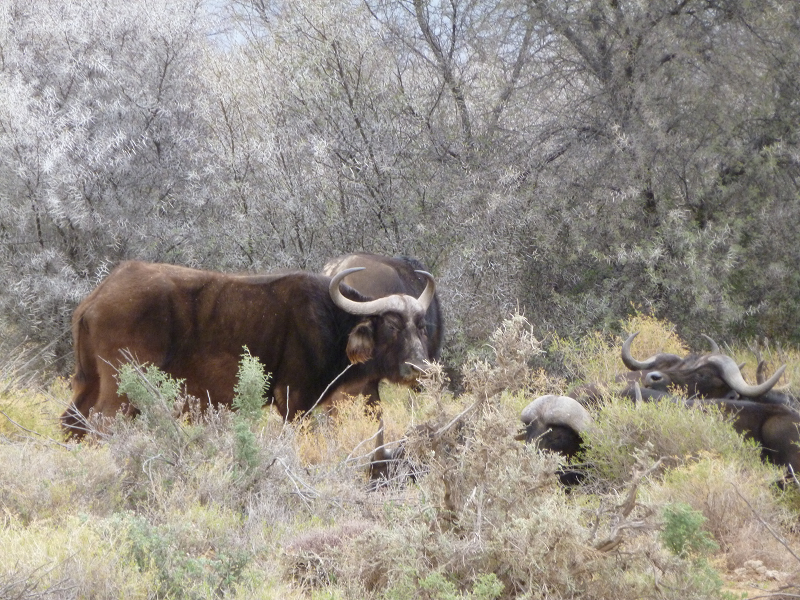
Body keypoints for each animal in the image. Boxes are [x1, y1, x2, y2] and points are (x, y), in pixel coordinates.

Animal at [62, 260, 438, 438]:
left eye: (420, 326)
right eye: (391, 326)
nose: (420, 369)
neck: (331, 320)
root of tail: (96, 298)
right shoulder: (295, 402)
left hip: (89, 384)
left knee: (72, 423)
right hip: (121, 390)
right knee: (102, 425)